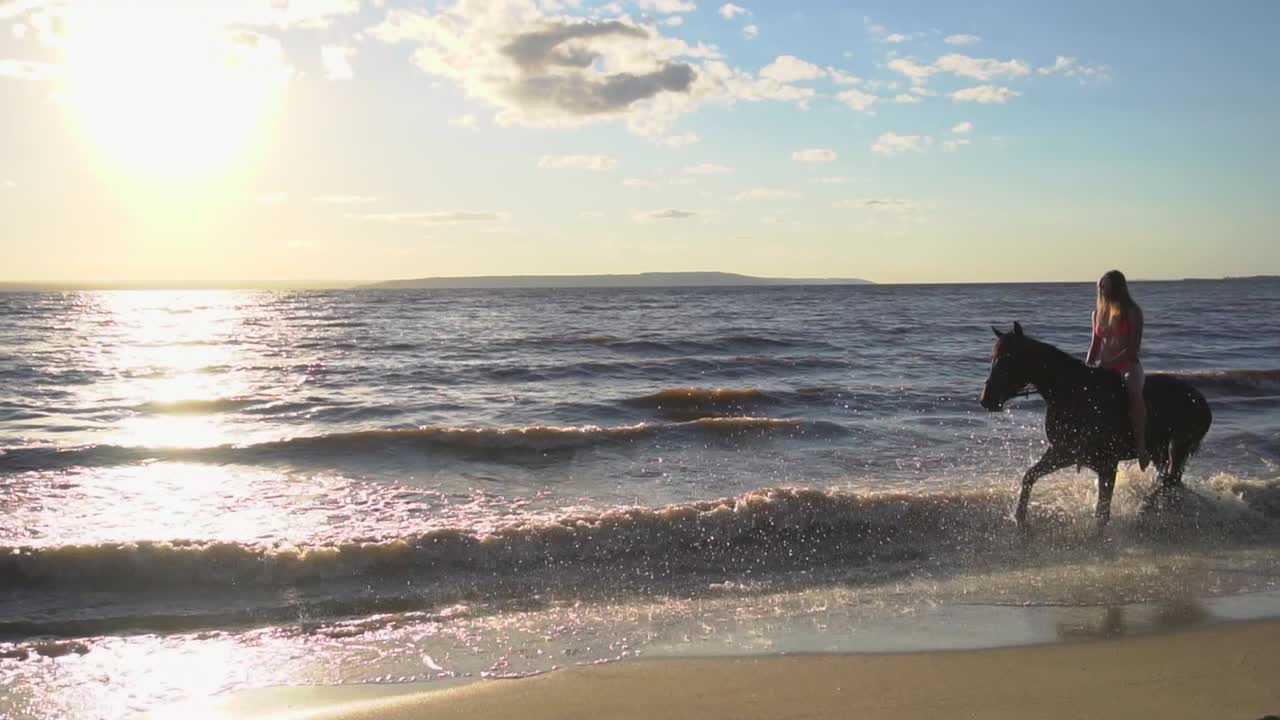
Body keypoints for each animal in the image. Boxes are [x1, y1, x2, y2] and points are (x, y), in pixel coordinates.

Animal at [979, 322, 1212, 532]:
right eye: (993, 358)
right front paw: (1020, 518)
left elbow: (1102, 513)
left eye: (1009, 359)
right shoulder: (1064, 452)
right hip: (1159, 449)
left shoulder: (1106, 464)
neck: (1074, 393)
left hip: (1178, 446)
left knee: (1169, 481)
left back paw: (1145, 507)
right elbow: (1029, 476)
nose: (986, 399)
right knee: (1167, 480)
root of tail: (1201, 401)